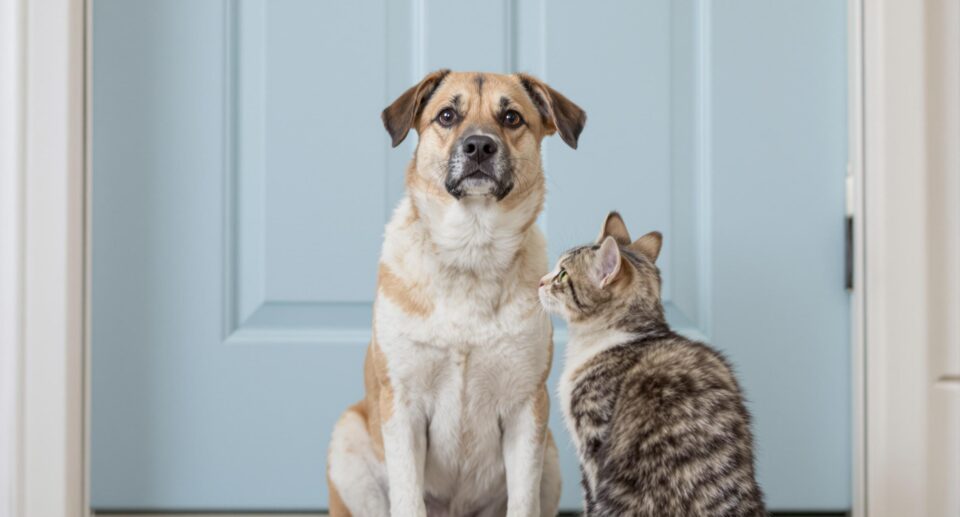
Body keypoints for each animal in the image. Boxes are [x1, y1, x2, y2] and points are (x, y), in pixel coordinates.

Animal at [328, 69, 584, 516]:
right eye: (447, 115)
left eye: (512, 117)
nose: (479, 145)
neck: (471, 252)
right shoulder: (403, 408)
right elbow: (408, 499)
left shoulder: (526, 410)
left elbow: (523, 502)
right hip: (349, 444)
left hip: (550, 458)